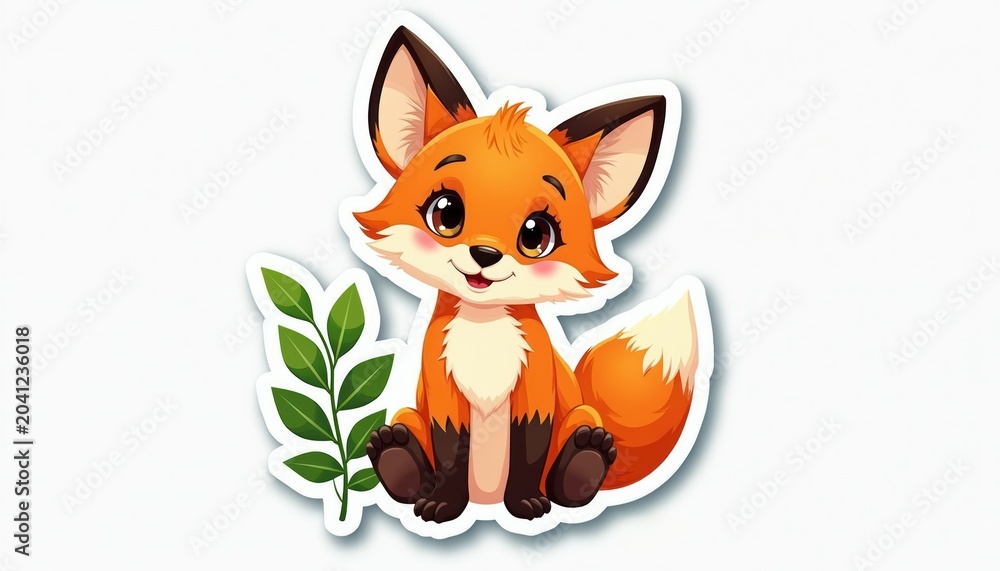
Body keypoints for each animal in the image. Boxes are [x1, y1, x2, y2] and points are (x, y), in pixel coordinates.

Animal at [352, 24, 704, 524]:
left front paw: (526, 504)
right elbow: (451, 451)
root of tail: (485, 505)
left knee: (576, 458)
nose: (484, 254)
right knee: (403, 435)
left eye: (536, 235)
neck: (485, 335)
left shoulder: (536, 388)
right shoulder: (442, 394)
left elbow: (528, 452)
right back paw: (397, 461)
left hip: (580, 416)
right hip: (407, 414)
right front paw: (442, 504)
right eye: (446, 213)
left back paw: (582, 466)